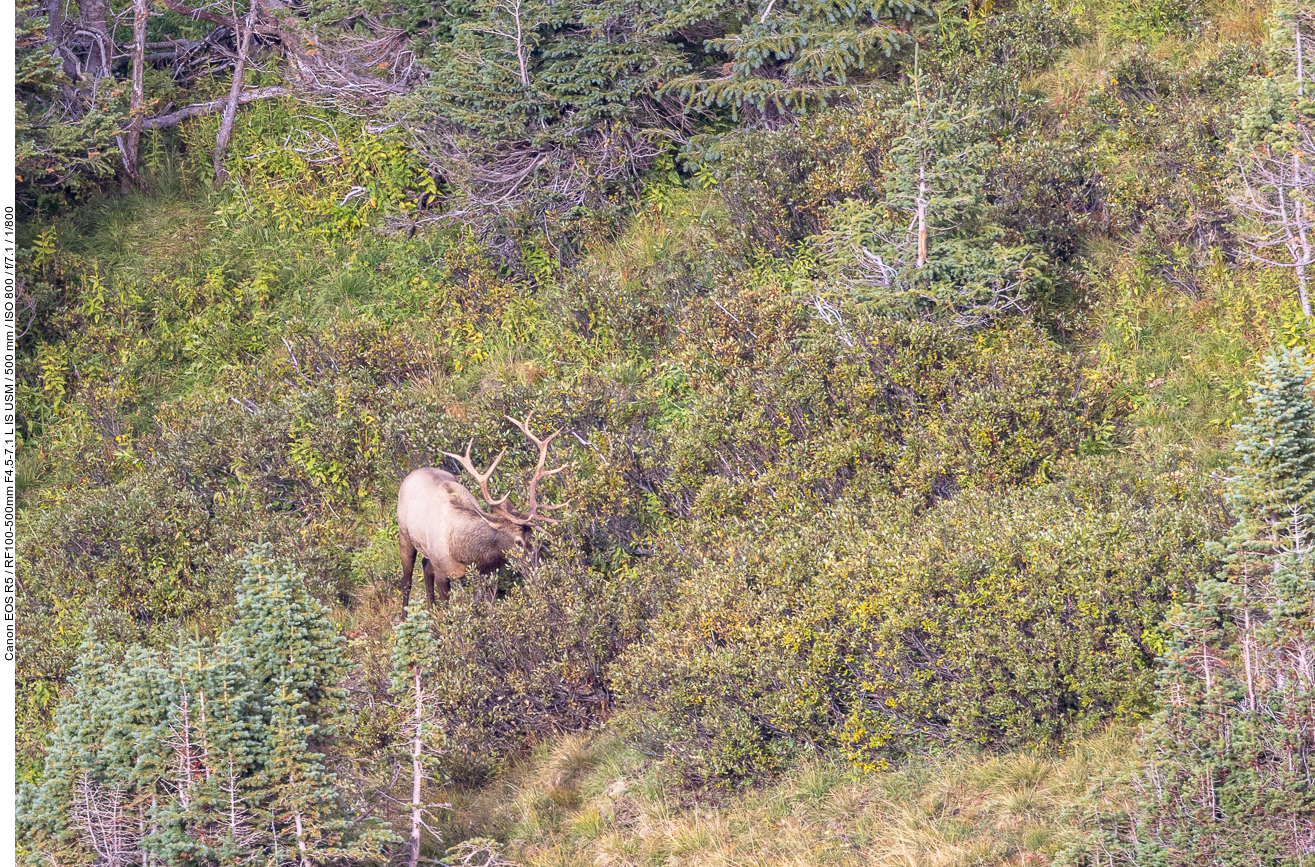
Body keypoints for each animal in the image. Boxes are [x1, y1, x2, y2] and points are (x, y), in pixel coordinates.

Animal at [397, 413, 568, 610]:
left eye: (533, 536)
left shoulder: (482, 573)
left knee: (425, 567)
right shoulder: (442, 572)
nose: (539, 567)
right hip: (404, 535)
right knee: (407, 581)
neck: (463, 552)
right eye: (518, 542)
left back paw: (430, 610)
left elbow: (482, 604)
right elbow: (447, 609)